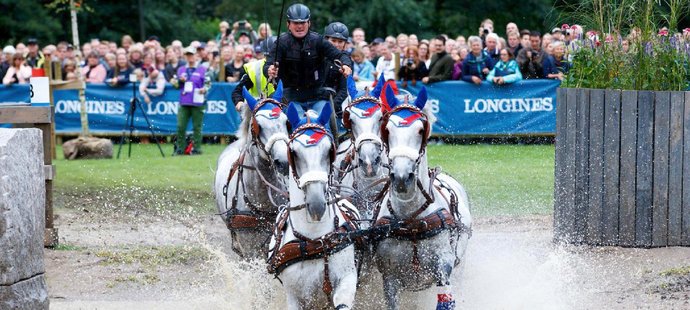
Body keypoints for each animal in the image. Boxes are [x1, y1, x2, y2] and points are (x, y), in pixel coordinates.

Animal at [266, 103, 358, 308]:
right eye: (293, 153)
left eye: (329, 150)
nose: (316, 205)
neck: (316, 240)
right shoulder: (295, 297)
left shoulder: (347, 281)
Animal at [370, 85, 472, 310]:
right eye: (387, 130)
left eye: (420, 130)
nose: (401, 177)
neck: (411, 221)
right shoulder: (389, 278)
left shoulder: (443, 267)